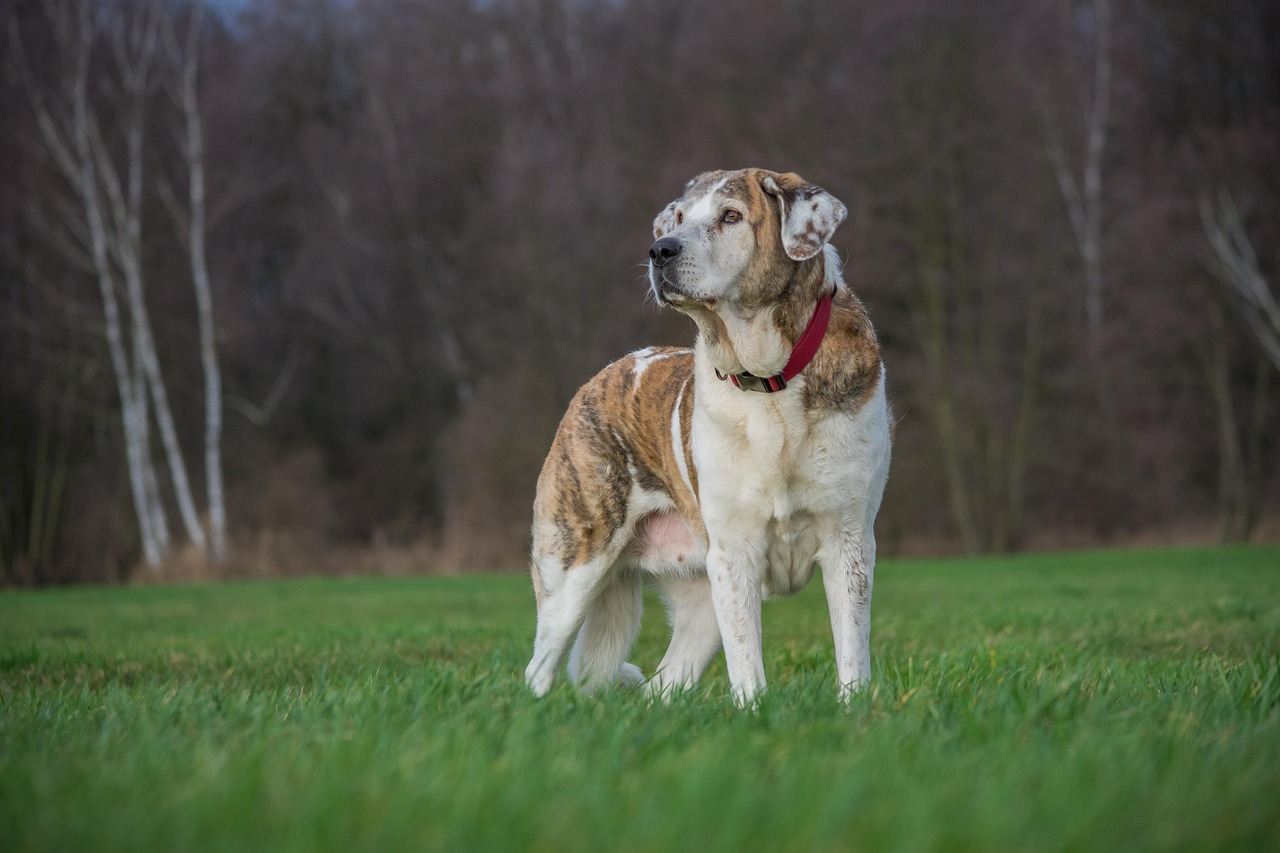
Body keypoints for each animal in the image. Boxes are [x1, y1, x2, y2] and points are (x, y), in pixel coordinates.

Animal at [519, 167, 890, 701]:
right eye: (676, 219)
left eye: (730, 216)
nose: (660, 250)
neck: (769, 380)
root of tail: (600, 377)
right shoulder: (734, 555)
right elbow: (747, 662)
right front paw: (755, 710)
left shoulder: (850, 541)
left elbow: (852, 654)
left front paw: (854, 710)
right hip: (574, 567)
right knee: (539, 667)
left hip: (699, 604)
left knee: (662, 686)